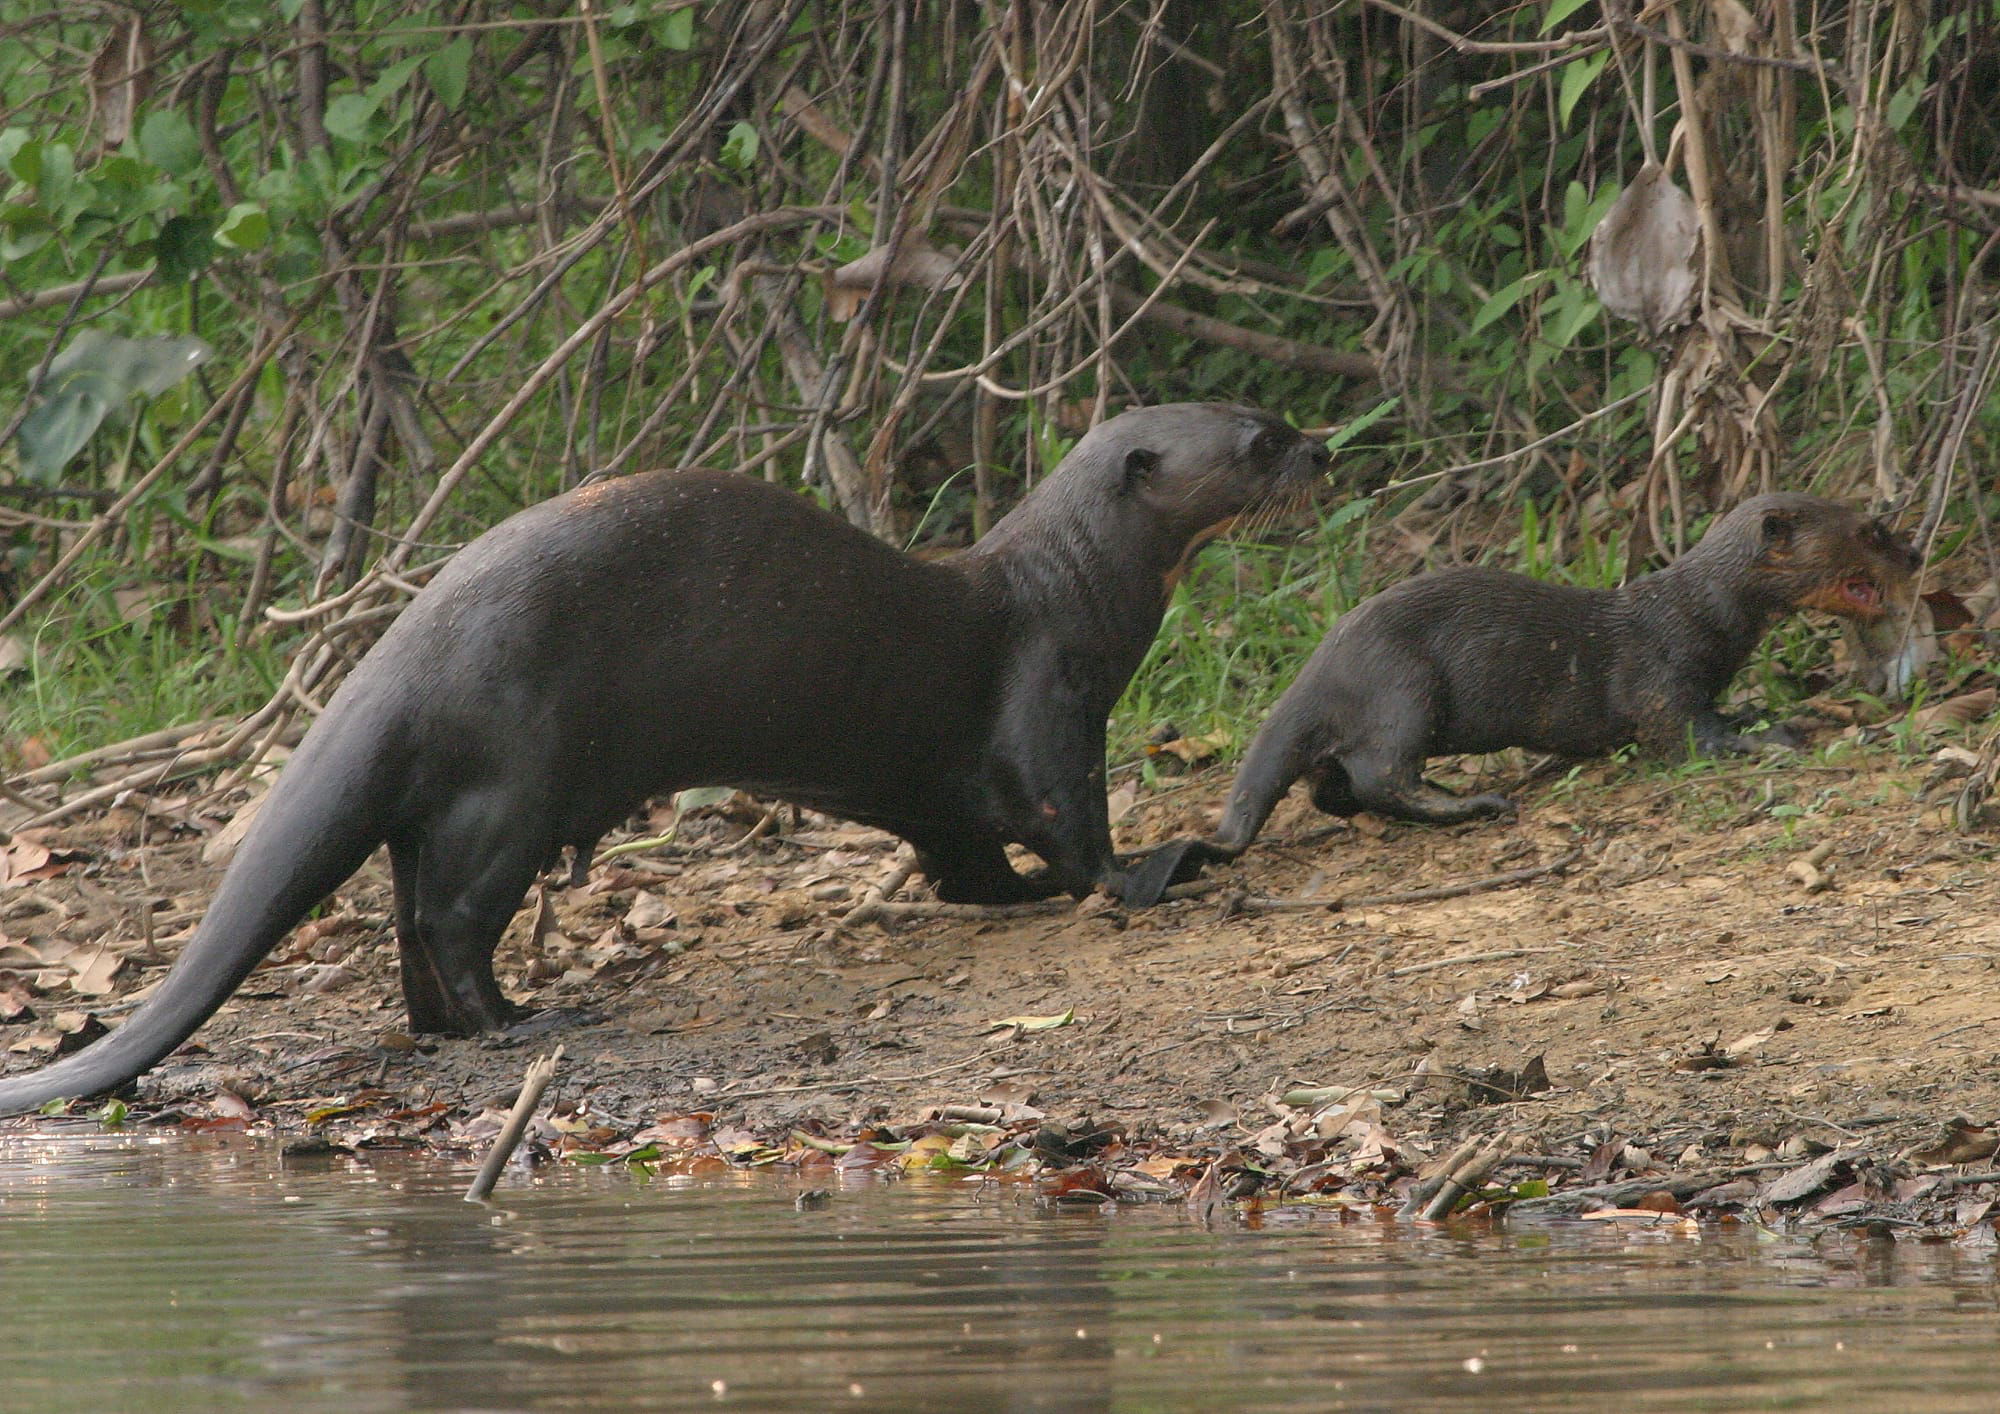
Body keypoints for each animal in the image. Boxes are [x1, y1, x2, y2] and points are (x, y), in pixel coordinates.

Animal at [7, 404, 1336, 1112]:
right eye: (1259, 438)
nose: (1325, 449)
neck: (1074, 588)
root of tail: (402, 653)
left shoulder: (939, 786)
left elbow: (964, 851)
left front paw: (999, 896)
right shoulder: (1048, 698)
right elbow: (1068, 827)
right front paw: (1161, 870)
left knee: (407, 912)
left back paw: (453, 1026)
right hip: (515, 778)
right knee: (449, 912)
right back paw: (528, 1018)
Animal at [1128, 492, 1920, 900]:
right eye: (1870, 531)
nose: (1915, 552)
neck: (1699, 615)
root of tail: (1315, 668)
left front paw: (1761, 711)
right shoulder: (1661, 680)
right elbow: (1687, 736)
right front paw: (1775, 733)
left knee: (1330, 787)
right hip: (1403, 685)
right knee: (1382, 773)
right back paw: (1477, 802)